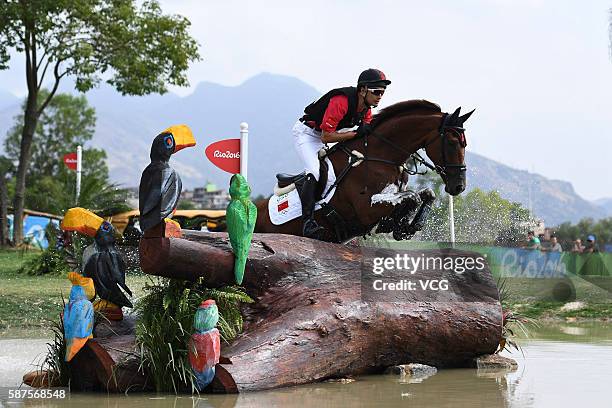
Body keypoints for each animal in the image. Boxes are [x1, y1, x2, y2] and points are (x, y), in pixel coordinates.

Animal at [253, 100, 474, 244]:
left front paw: (406, 226)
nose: (459, 186)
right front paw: (398, 224)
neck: (381, 155)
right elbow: (412, 196)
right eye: (453, 142)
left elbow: (427, 194)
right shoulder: (366, 209)